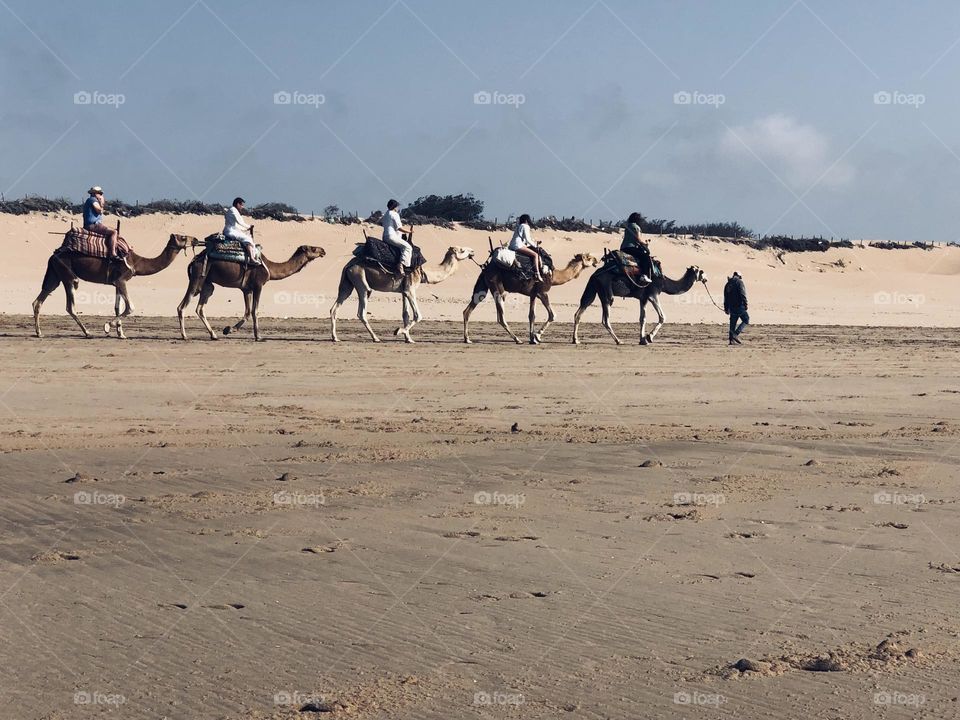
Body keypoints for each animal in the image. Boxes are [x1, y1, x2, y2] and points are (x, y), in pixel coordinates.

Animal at [32, 233, 193, 340]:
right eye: (183, 237)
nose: (196, 239)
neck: (137, 263)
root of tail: (53, 256)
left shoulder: (116, 282)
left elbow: (118, 306)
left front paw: (121, 334)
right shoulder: (122, 279)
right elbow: (130, 307)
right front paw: (108, 326)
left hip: (55, 276)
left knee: (39, 300)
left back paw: (39, 333)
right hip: (68, 276)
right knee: (70, 305)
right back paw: (87, 333)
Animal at [178, 245, 328, 340]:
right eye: (313, 248)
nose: (323, 251)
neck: (270, 268)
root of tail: (193, 261)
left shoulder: (246, 289)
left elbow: (247, 312)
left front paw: (229, 329)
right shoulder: (258, 285)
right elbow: (255, 311)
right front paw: (258, 336)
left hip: (207, 284)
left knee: (200, 307)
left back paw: (213, 335)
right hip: (197, 278)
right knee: (182, 306)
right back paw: (185, 336)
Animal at [330, 245, 476, 344]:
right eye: (462, 250)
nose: (473, 251)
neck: (423, 272)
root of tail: (348, 265)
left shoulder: (404, 291)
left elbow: (405, 314)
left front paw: (408, 339)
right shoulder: (410, 290)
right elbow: (418, 315)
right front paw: (399, 331)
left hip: (347, 283)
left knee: (334, 308)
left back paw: (335, 337)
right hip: (361, 281)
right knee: (361, 312)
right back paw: (375, 338)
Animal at [462, 252, 596, 344]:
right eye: (589, 258)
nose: (596, 260)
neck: (553, 276)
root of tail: (485, 268)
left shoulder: (533, 294)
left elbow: (532, 315)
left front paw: (532, 338)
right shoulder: (542, 292)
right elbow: (552, 315)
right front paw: (538, 336)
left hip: (483, 285)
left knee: (468, 309)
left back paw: (467, 339)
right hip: (498, 288)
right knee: (500, 318)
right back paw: (517, 339)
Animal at [568, 262, 704, 346]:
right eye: (701, 271)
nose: (706, 278)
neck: (664, 283)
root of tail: (594, 275)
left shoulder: (643, 298)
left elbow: (642, 318)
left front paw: (642, 340)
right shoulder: (653, 294)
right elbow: (662, 317)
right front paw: (649, 337)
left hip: (592, 289)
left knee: (579, 311)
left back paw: (576, 340)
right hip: (606, 293)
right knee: (605, 319)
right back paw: (619, 341)